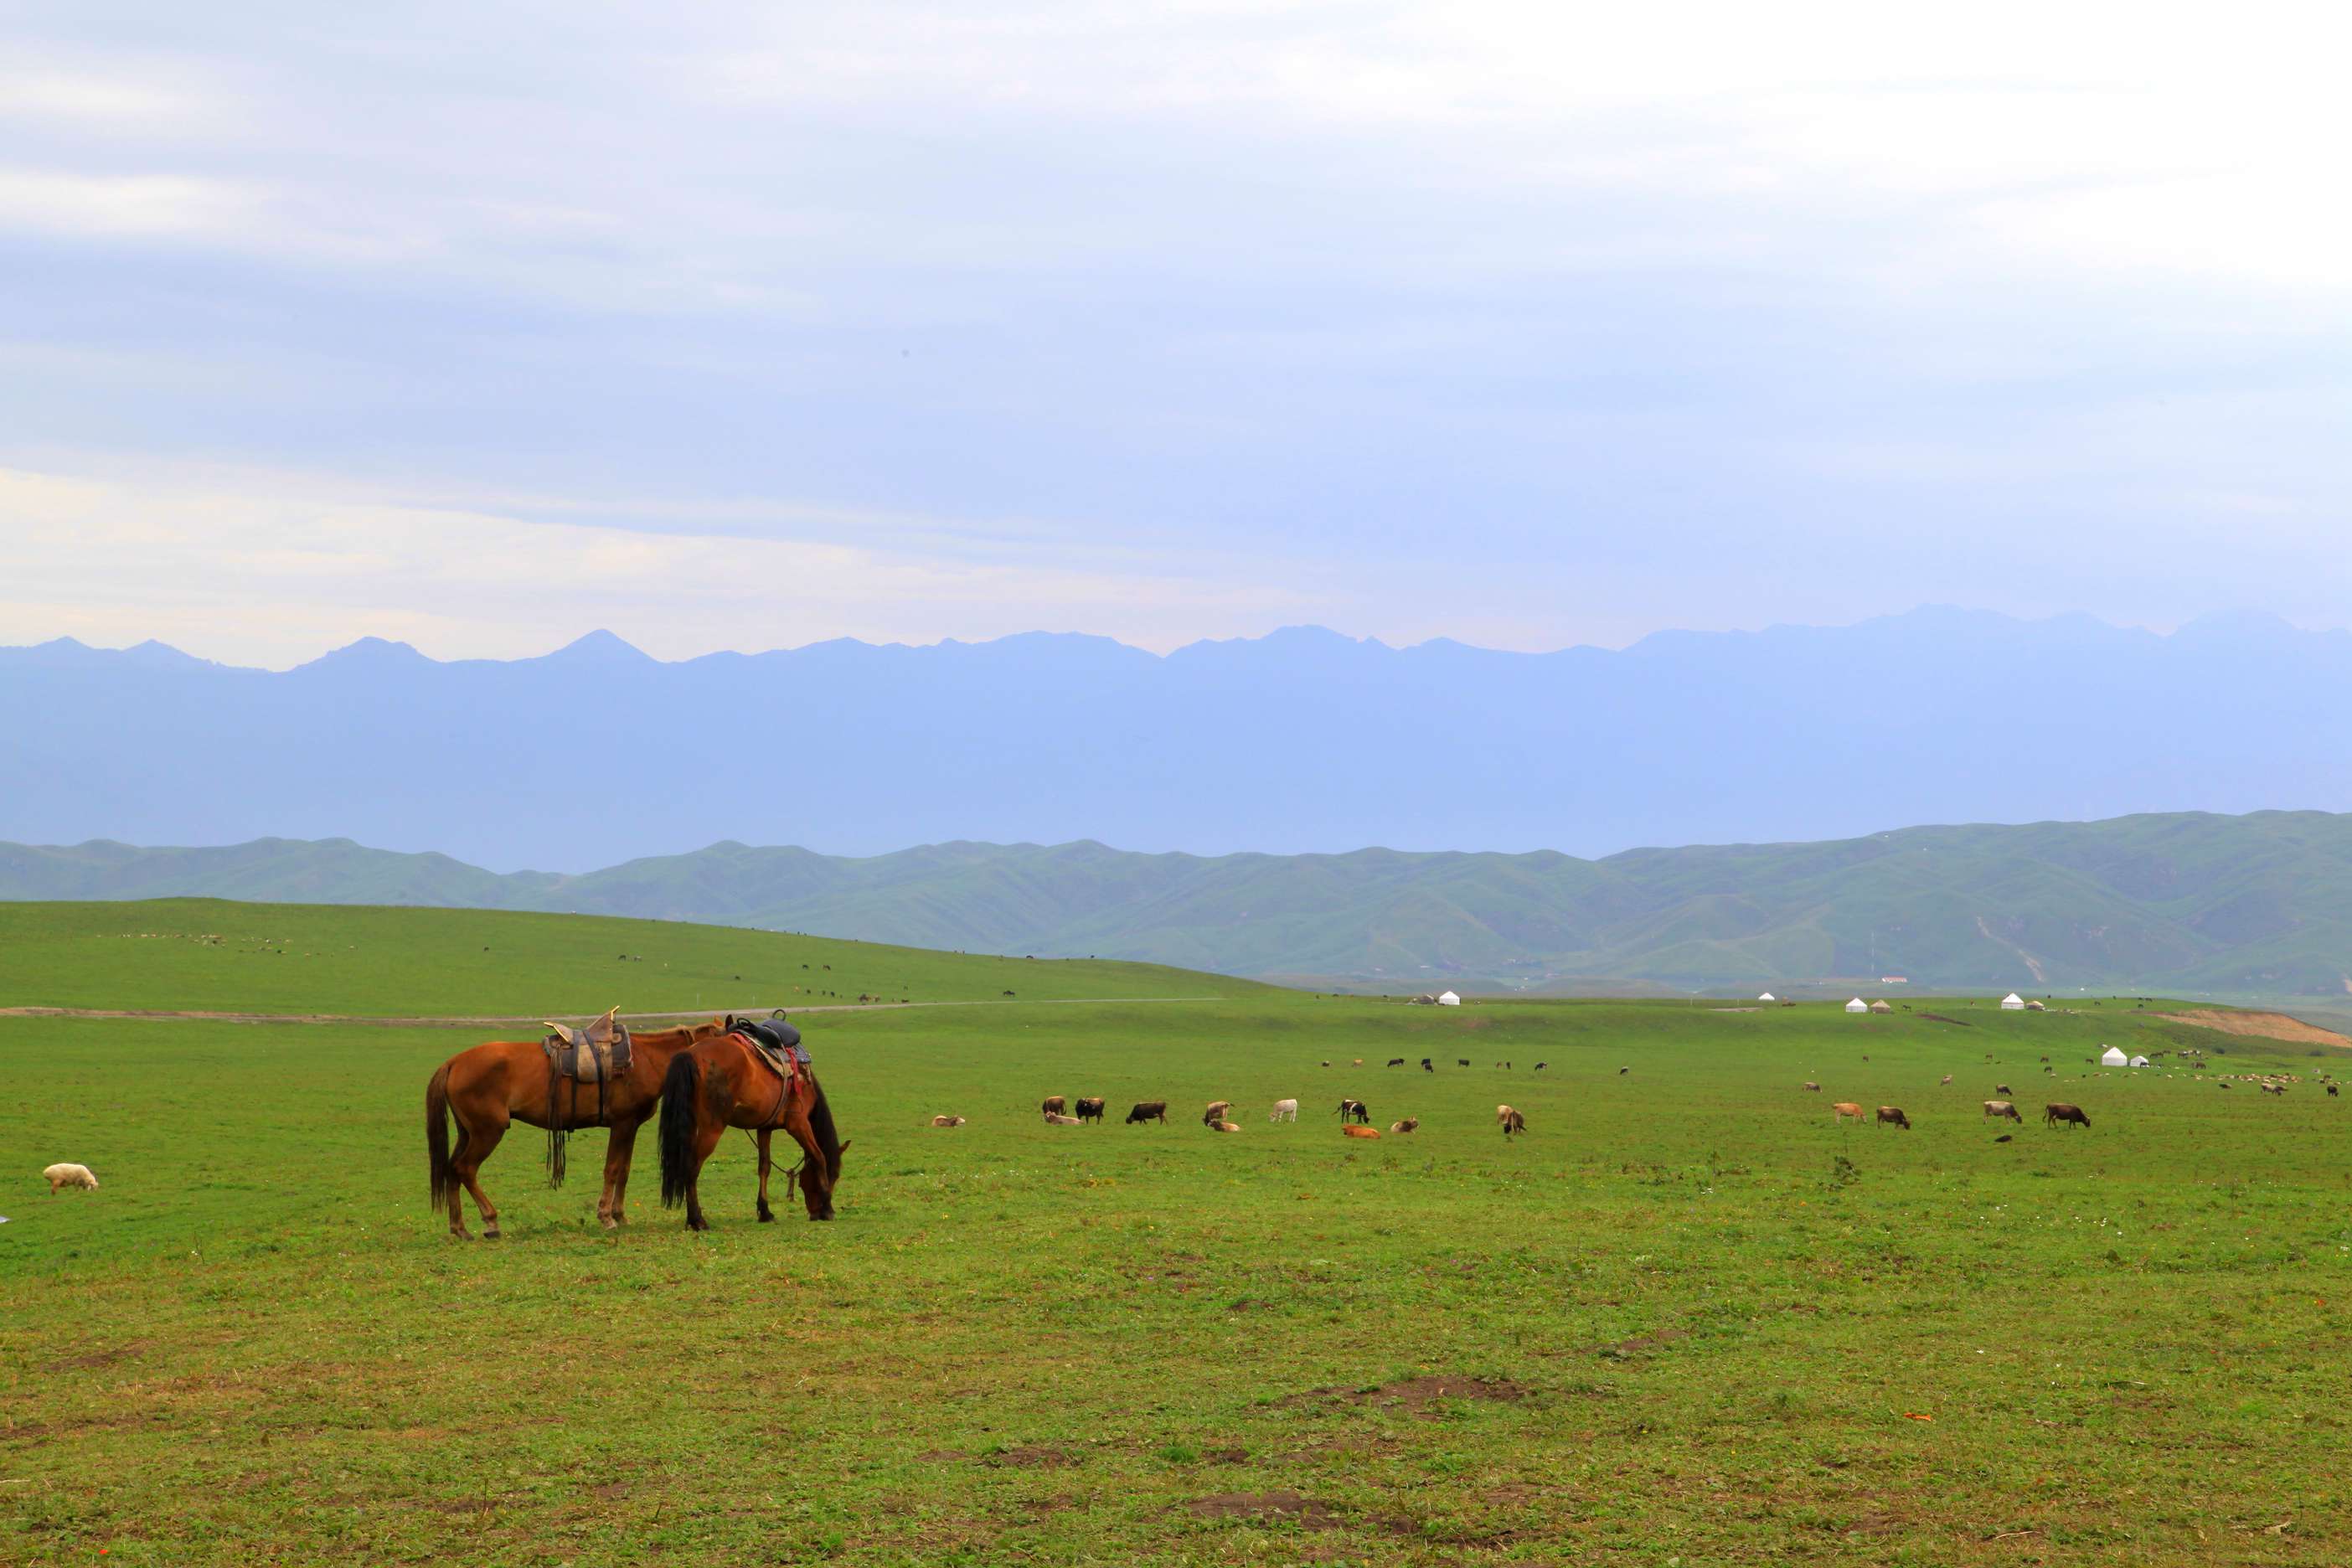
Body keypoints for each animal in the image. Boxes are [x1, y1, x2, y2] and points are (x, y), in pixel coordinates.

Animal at [420, 1020, 714, 1240]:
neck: (644, 1060)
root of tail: (454, 1062)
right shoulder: (622, 1124)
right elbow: (612, 1169)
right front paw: (607, 1217)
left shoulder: (630, 1126)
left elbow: (624, 1171)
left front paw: (620, 1215)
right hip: (487, 1132)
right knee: (465, 1169)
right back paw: (490, 1222)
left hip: (467, 1133)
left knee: (452, 1169)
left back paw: (460, 1228)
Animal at [658, 1029, 851, 1240]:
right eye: (835, 1175)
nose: (815, 1213)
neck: (804, 1083)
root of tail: (690, 1055)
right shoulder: (798, 1124)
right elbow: (819, 1157)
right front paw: (828, 1208)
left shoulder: (765, 1128)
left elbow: (764, 1167)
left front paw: (765, 1212)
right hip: (712, 1128)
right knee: (692, 1168)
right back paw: (697, 1220)